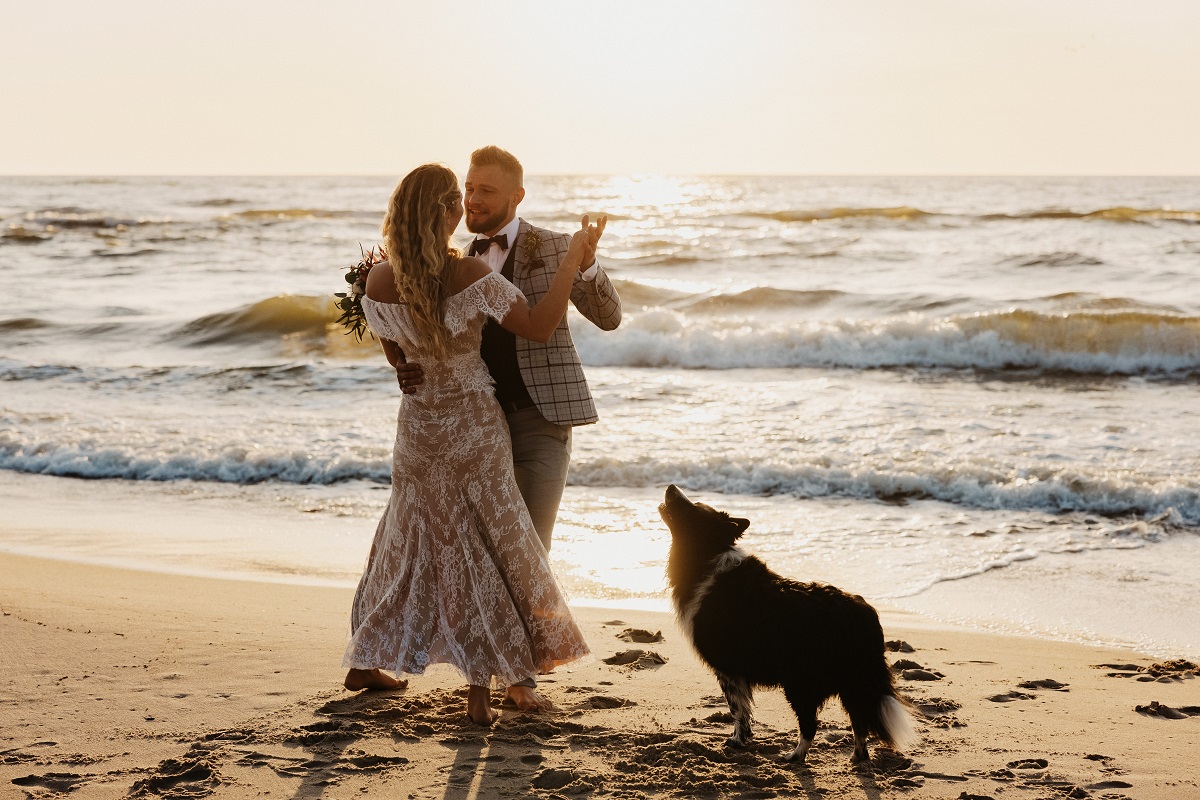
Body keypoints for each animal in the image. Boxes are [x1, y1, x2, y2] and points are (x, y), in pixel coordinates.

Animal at [662, 484, 912, 767]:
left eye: (692, 508)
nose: (671, 487)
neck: (705, 554)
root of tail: (865, 614)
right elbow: (743, 709)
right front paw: (744, 739)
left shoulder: (728, 669)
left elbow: (737, 709)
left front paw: (738, 741)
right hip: (851, 682)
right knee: (858, 721)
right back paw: (856, 758)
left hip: (801, 682)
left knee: (812, 724)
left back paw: (795, 756)